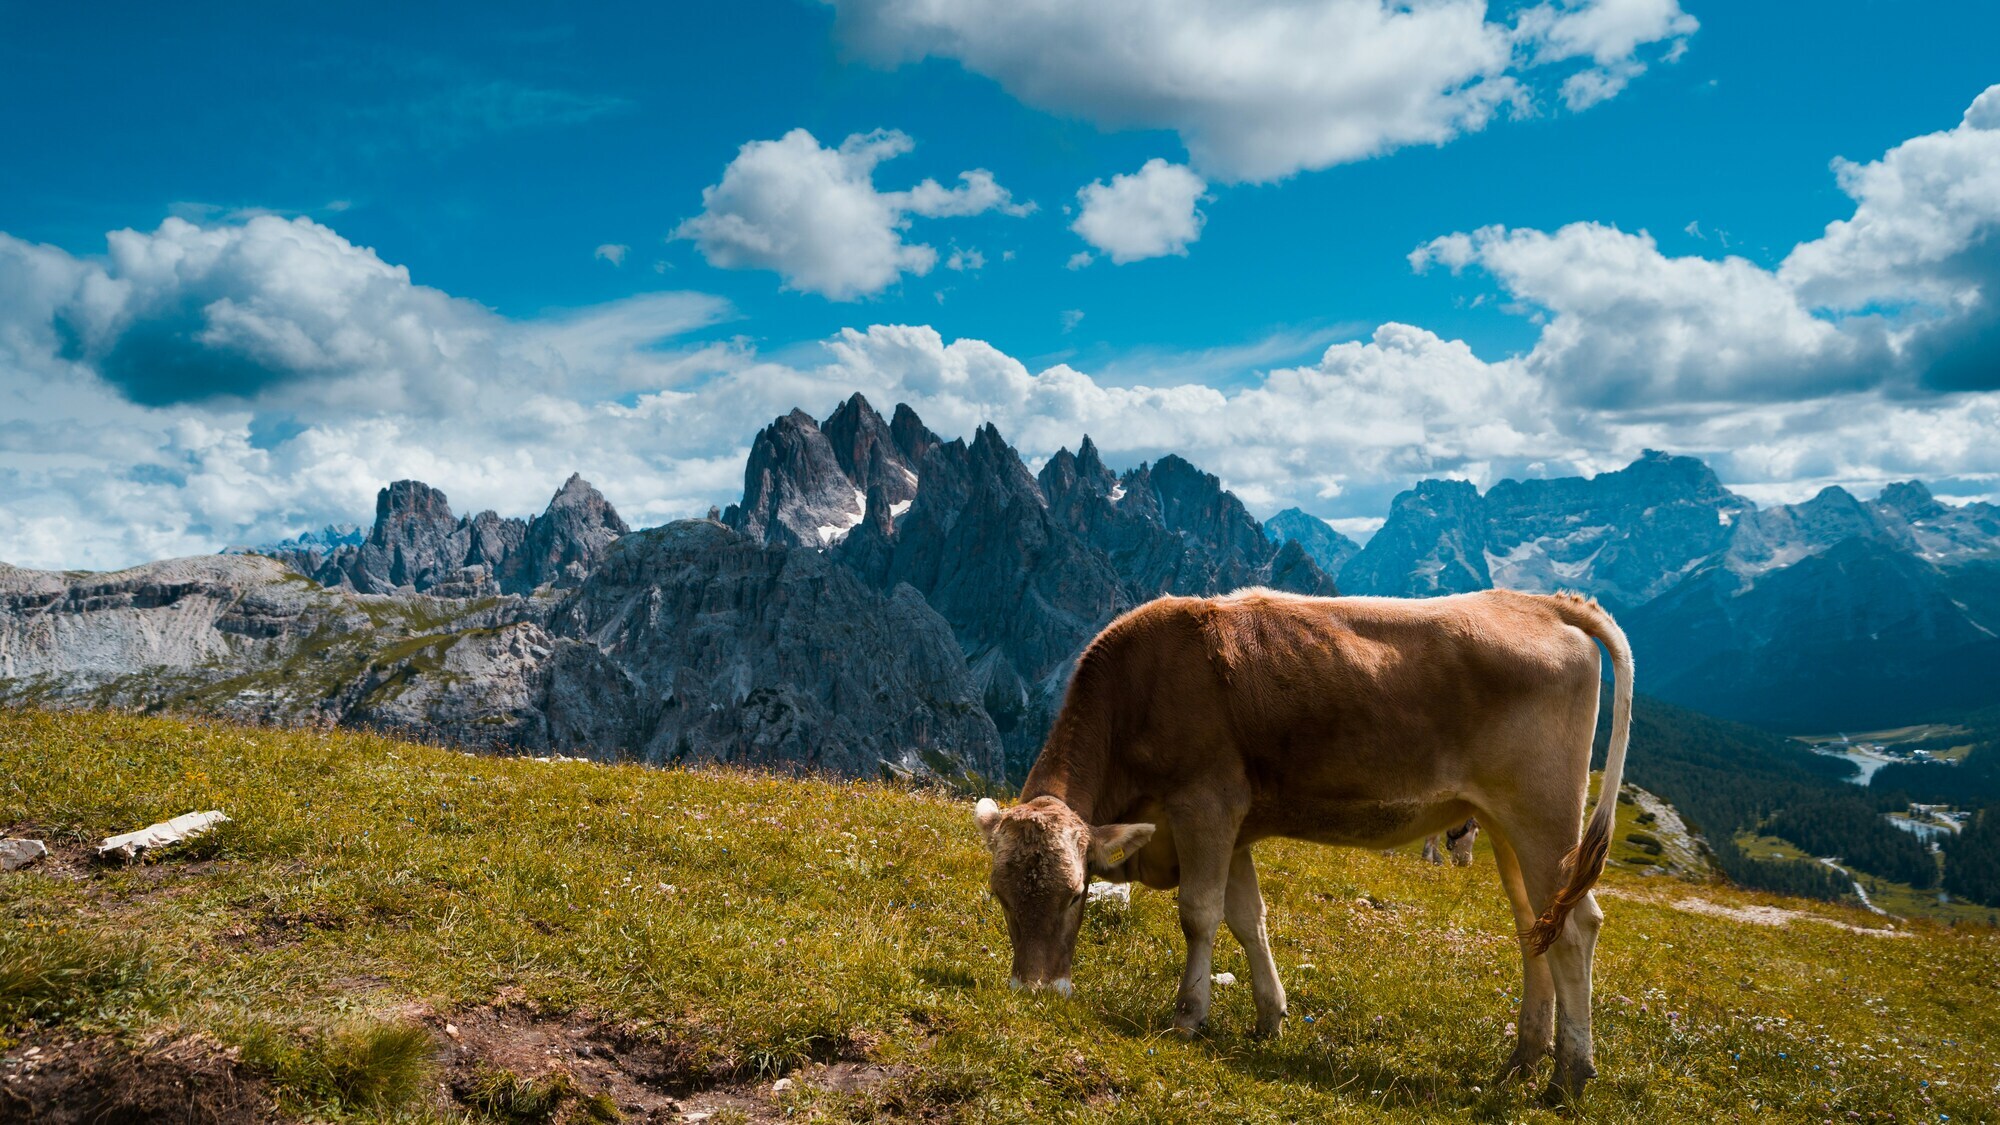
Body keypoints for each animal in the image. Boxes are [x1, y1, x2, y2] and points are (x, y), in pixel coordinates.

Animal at [972, 588, 1640, 1096]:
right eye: (1001, 899)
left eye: (1076, 895)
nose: (1034, 992)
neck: (1139, 692)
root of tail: (1544, 602)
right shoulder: (1233, 827)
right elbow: (1248, 918)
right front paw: (1270, 1017)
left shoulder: (1205, 805)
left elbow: (1199, 913)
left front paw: (1189, 1016)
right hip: (1504, 827)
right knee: (1536, 929)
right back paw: (1522, 1062)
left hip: (1544, 820)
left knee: (1575, 928)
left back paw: (1569, 1075)